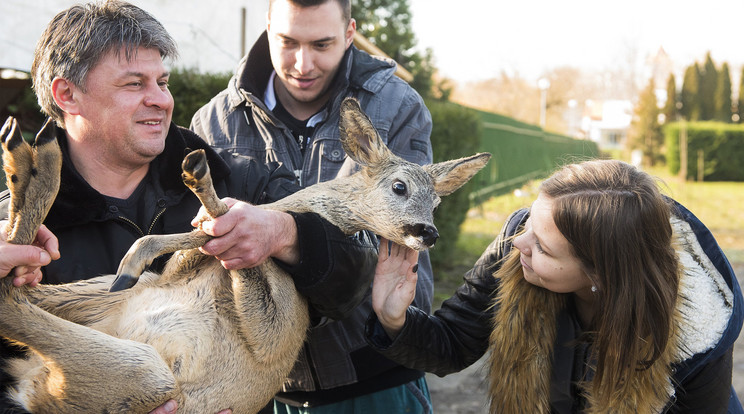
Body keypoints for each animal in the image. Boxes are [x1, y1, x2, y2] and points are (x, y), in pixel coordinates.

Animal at [0, 98, 492, 414]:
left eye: (437, 203)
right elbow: (198, 234)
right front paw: (153, 240)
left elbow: (228, 236)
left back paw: (33, 155)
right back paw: (29, 161)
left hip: (142, 374)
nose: (427, 232)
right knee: (20, 292)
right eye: (400, 187)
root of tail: (33, 389)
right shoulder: (170, 274)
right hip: (105, 309)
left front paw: (199, 193)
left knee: (12, 300)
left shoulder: (275, 331)